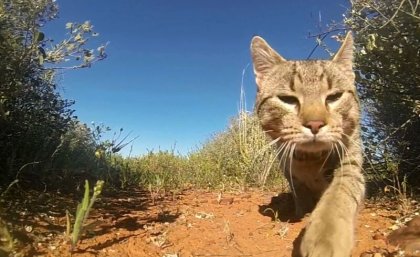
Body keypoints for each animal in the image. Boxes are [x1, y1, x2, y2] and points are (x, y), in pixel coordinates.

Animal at [251, 32, 366, 256]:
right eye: (287, 99)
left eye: (334, 96)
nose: (315, 124)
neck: (310, 160)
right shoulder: (291, 173)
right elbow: (300, 196)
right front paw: (301, 214)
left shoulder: (351, 165)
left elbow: (338, 196)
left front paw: (324, 237)